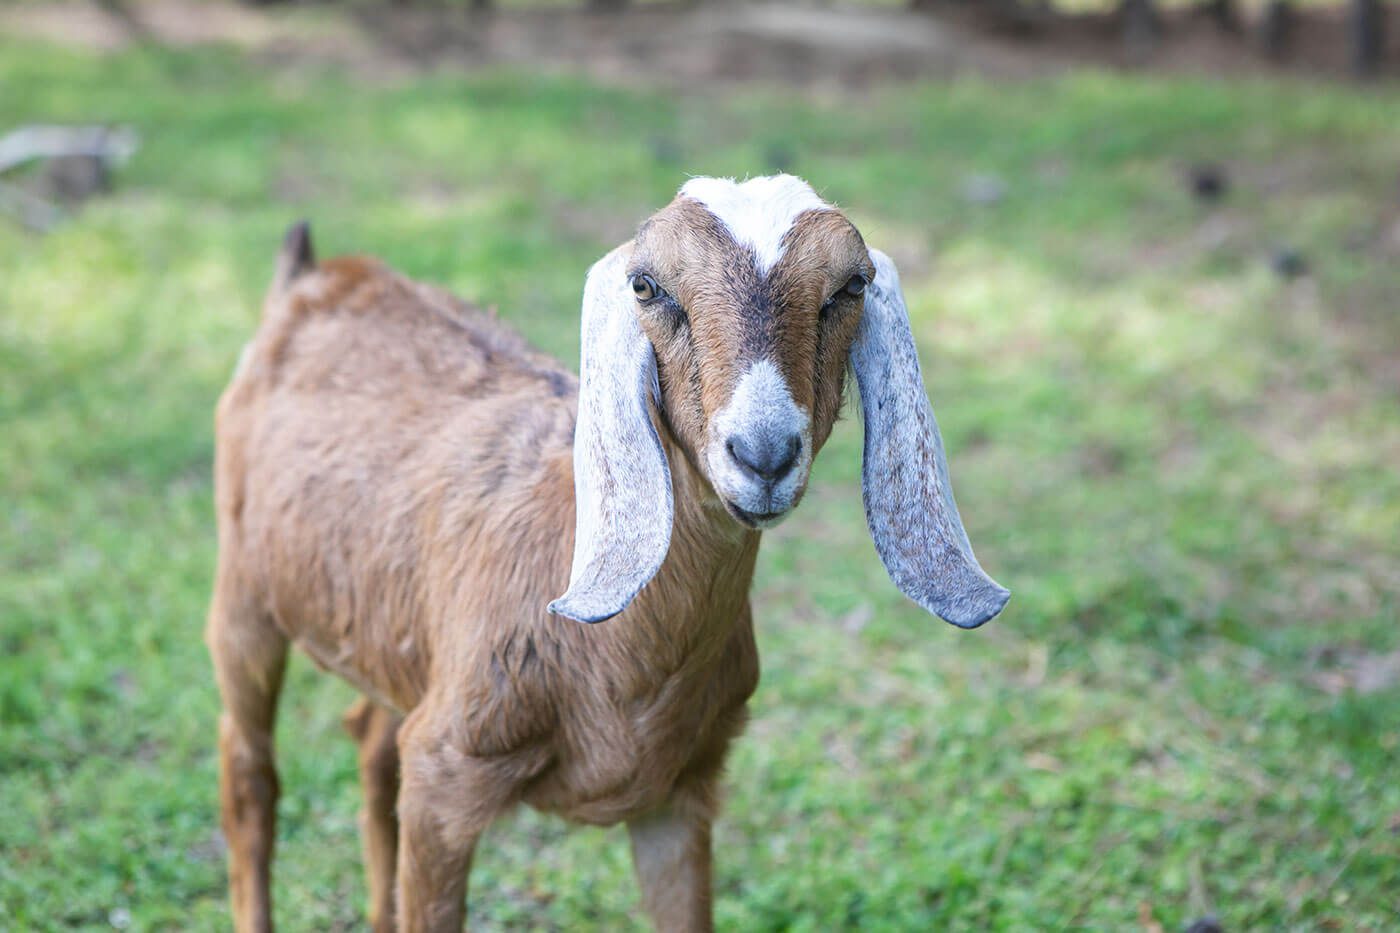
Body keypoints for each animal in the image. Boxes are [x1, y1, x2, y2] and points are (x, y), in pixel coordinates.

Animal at [207, 170, 1008, 924]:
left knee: (372, 744)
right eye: (647, 286)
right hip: (243, 595)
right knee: (250, 773)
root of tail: (315, 276)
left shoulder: (679, 794)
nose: (763, 454)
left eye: (851, 285)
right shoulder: (447, 777)